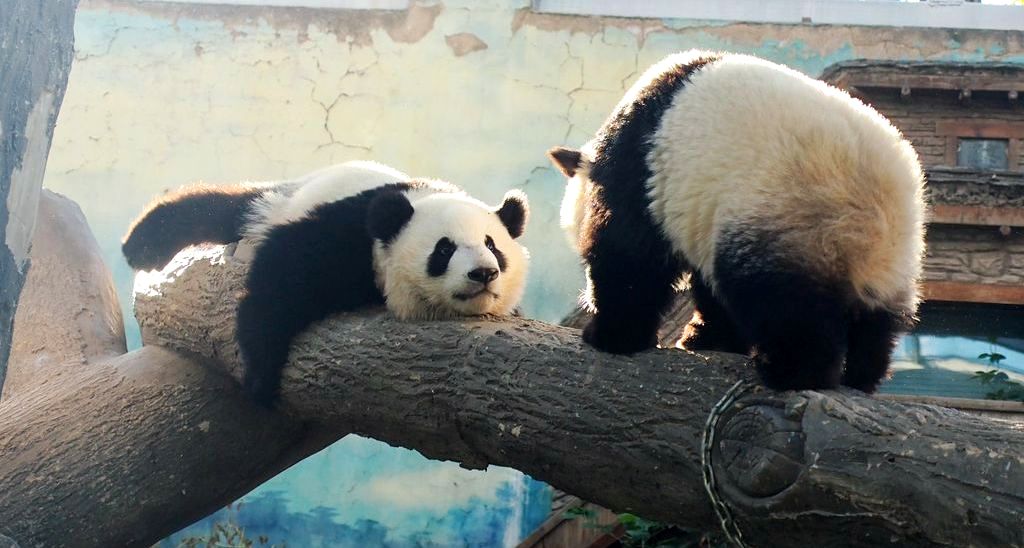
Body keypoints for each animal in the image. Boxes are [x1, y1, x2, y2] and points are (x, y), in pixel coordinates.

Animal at [123, 160, 532, 405]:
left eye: (492, 246)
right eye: (444, 249)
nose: (483, 273)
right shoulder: (347, 234)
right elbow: (282, 278)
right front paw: (260, 379)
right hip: (280, 203)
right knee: (223, 207)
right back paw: (140, 246)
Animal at [548, 51, 925, 395]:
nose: (586, 301)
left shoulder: (641, 173)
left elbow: (631, 258)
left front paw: (610, 334)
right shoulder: (700, 210)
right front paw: (707, 337)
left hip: (791, 217)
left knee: (785, 305)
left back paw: (789, 372)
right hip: (892, 259)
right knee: (877, 325)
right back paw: (861, 376)